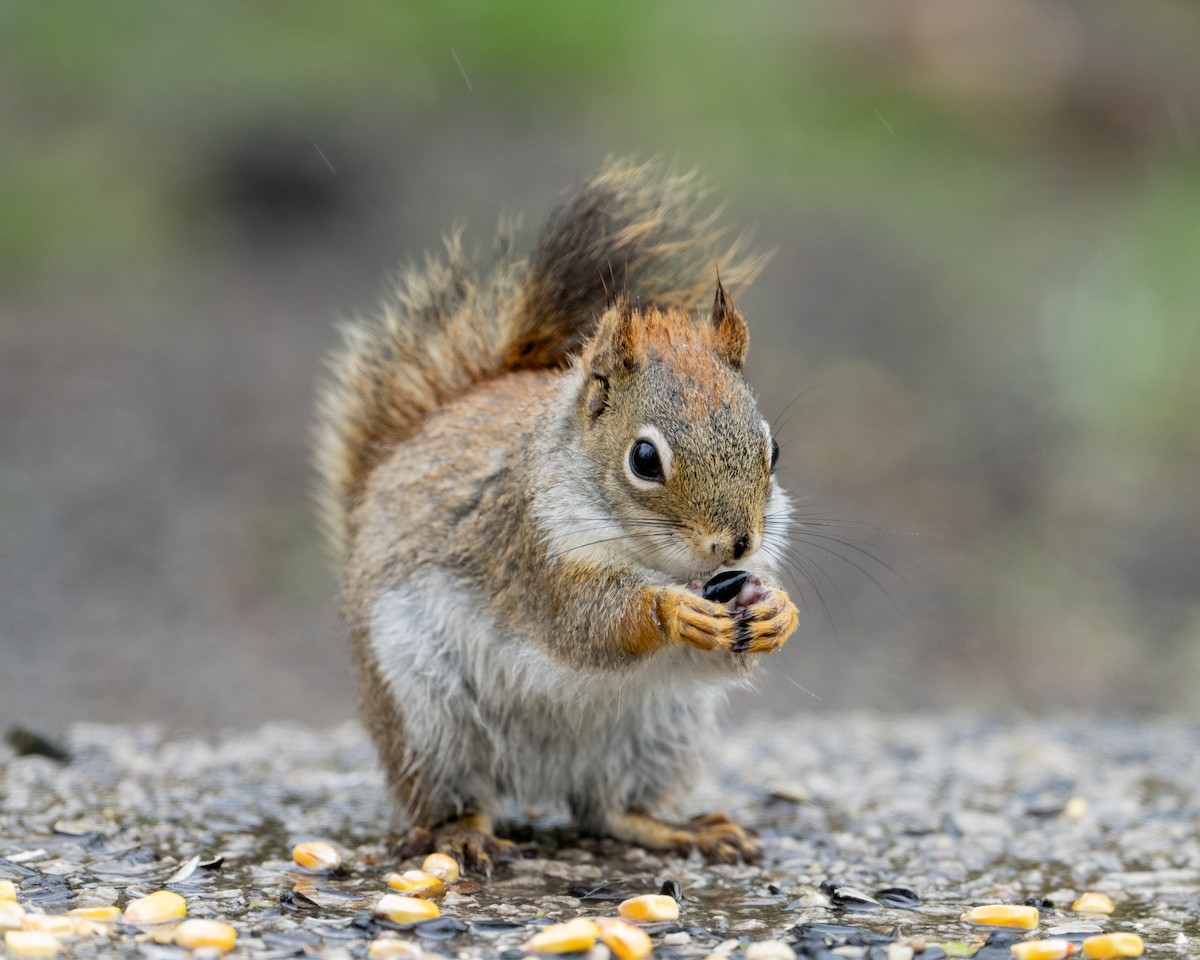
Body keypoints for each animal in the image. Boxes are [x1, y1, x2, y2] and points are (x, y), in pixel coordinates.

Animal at [314, 158, 799, 871]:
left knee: (608, 810)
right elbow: (582, 622)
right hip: (428, 715)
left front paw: (777, 610)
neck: (651, 555)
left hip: (661, 731)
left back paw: (679, 830)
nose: (737, 545)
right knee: (457, 797)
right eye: (645, 459)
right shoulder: (526, 542)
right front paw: (669, 609)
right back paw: (462, 834)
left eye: (774, 449)